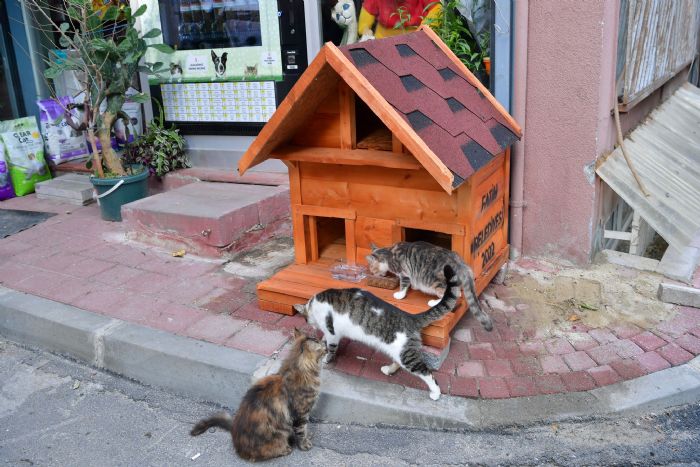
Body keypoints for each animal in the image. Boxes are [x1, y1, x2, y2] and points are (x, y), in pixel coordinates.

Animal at [189, 330, 326, 464]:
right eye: (320, 344)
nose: (326, 343)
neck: (297, 369)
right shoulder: (300, 414)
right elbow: (301, 431)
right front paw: (304, 444)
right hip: (277, 437)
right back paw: (285, 449)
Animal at [294, 266, 462, 400]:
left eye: (305, 319)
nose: (309, 323)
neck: (313, 305)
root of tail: (410, 317)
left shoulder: (332, 333)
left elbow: (330, 348)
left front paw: (326, 359)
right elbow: (325, 341)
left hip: (406, 356)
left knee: (427, 373)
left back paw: (435, 393)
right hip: (398, 351)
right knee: (398, 363)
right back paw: (388, 369)